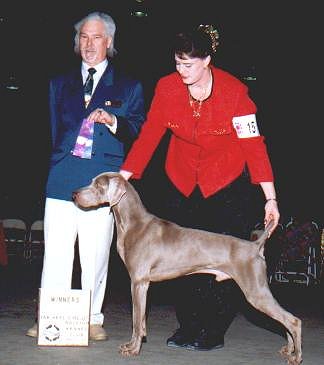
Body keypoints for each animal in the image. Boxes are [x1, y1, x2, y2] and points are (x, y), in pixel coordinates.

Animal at [72, 171, 302, 364]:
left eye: (98, 185)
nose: (74, 194)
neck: (133, 223)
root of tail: (255, 246)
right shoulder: (141, 284)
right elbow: (141, 321)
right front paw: (132, 345)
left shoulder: (138, 282)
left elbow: (137, 321)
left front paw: (133, 349)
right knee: (284, 320)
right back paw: (288, 349)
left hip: (255, 291)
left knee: (293, 320)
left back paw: (296, 356)